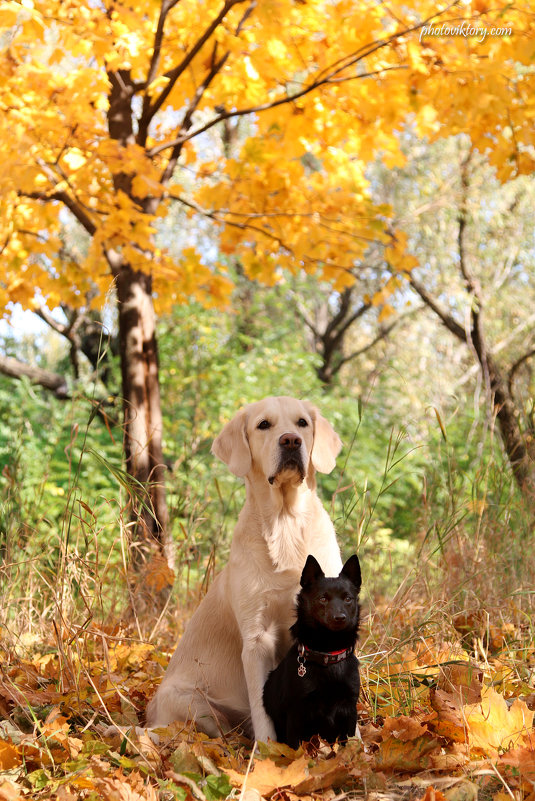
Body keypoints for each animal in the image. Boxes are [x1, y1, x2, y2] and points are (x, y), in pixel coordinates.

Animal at [262, 552, 362, 748]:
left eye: (348, 599)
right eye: (323, 599)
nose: (340, 617)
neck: (329, 653)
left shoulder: (349, 710)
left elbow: (348, 743)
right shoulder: (297, 713)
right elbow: (296, 748)